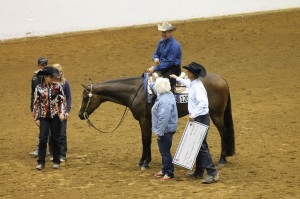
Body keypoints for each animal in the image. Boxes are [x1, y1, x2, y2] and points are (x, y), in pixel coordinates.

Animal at [78, 73, 234, 169]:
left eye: (85, 98)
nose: (80, 115)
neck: (135, 92)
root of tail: (222, 80)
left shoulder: (145, 120)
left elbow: (146, 140)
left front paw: (145, 162)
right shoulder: (144, 121)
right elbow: (145, 140)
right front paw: (143, 160)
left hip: (216, 114)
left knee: (224, 133)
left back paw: (222, 159)